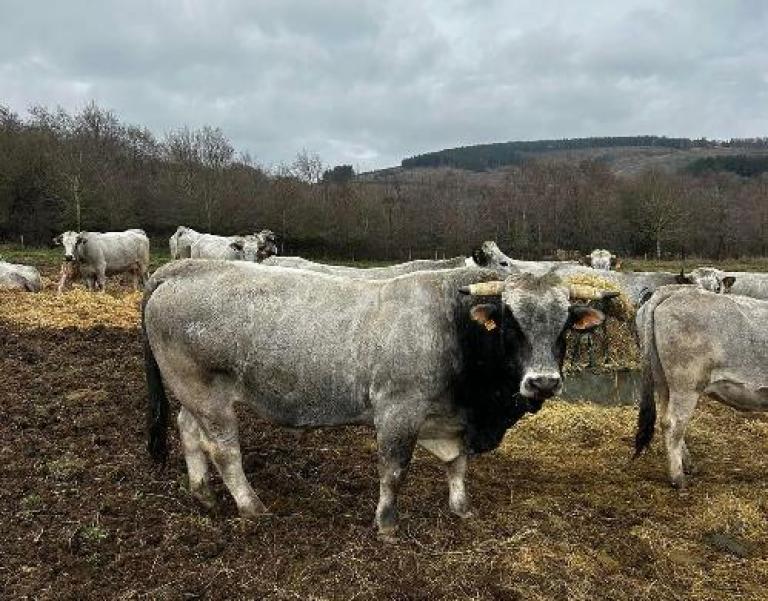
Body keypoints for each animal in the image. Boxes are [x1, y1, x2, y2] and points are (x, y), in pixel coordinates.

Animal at [142, 260, 610, 535]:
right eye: (510, 321)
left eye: (566, 324)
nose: (543, 382)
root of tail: (183, 268)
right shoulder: (398, 412)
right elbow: (394, 470)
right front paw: (386, 524)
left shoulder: (454, 420)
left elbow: (457, 465)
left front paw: (461, 508)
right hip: (208, 394)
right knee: (224, 450)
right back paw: (251, 506)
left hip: (192, 392)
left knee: (188, 431)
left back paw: (202, 494)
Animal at [634, 285, 768, 488]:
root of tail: (672, 290)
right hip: (686, 383)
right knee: (673, 422)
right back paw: (678, 478)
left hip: (662, 379)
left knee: (666, 420)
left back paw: (688, 465)